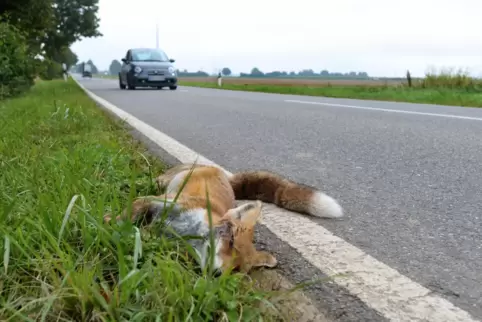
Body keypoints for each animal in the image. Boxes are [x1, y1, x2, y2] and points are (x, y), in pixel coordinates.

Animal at [104, 164, 342, 274]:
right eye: (231, 242)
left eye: (236, 269)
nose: (217, 274)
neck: (184, 230)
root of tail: (226, 176)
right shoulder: (157, 203)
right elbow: (125, 216)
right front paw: (106, 222)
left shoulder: (158, 233)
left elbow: (141, 233)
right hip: (164, 183)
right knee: (152, 181)